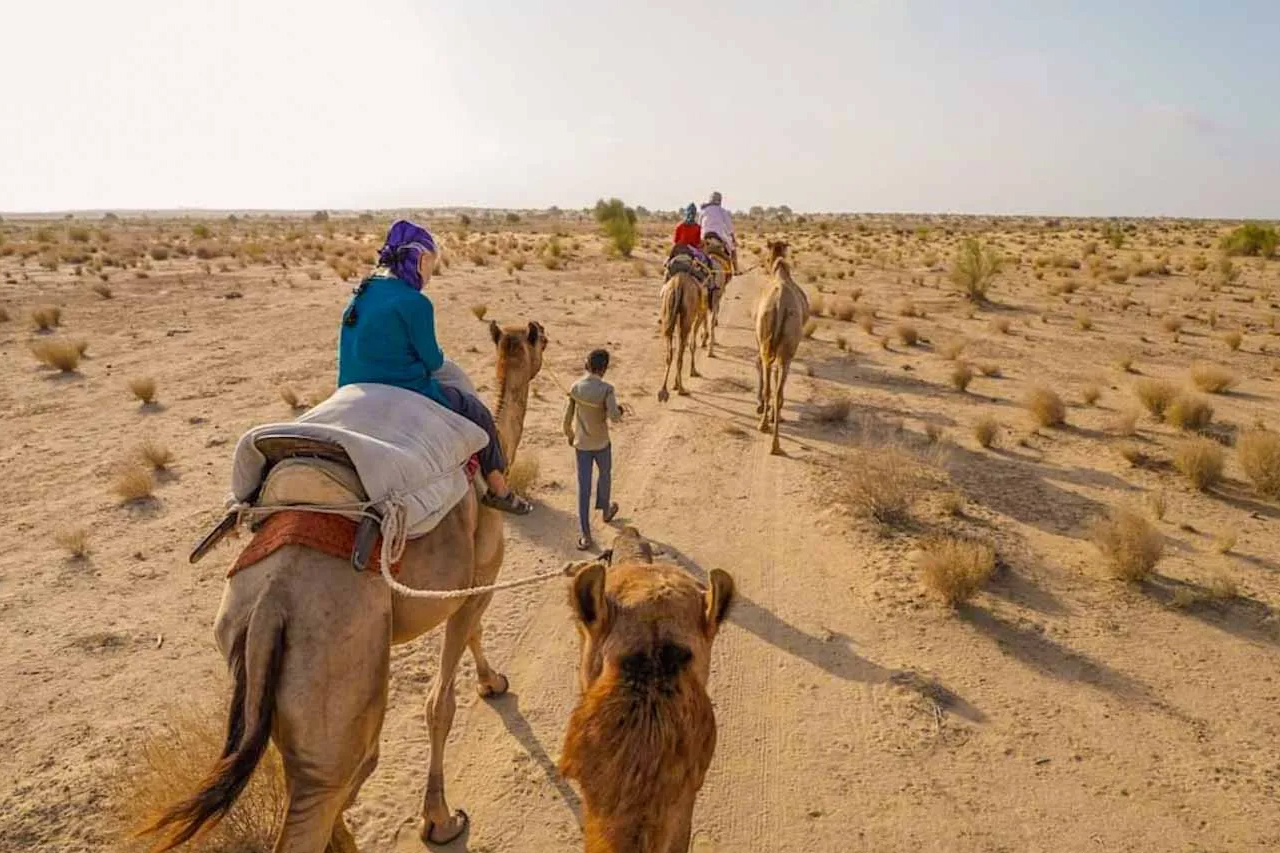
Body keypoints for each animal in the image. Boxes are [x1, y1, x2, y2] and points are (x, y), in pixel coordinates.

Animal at [143, 320, 546, 852]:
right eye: (540, 341)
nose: (550, 341)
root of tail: (271, 604)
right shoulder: (482, 574)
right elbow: (440, 702)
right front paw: (439, 820)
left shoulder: (464, 587)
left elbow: (472, 641)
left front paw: (492, 681)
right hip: (340, 667)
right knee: (332, 791)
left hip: (259, 668)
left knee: (319, 788)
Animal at [657, 270, 704, 403]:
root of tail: (678, 283)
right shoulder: (701, 313)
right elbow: (692, 344)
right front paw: (693, 372)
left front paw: (674, 384)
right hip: (687, 316)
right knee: (680, 353)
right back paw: (682, 389)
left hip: (668, 313)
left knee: (670, 353)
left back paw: (663, 391)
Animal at [754, 241, 810, 455]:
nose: (766, 263)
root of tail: (780, 304)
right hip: (786, 351)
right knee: (776, 386)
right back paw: (773, 438)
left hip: (770, 343)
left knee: (771, 386)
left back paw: (767, 430)